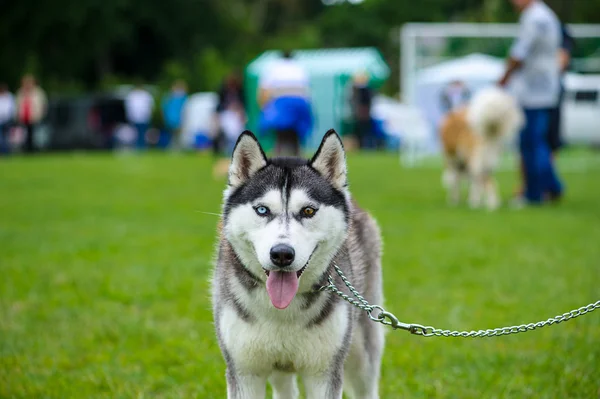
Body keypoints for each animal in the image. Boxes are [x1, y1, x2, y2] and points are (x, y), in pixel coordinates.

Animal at [212, 130, 384, 398]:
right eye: (262, 210)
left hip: (362, 348)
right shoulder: (244, 371)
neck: (282, 312)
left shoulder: (323, 373)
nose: (282, 254)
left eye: (308, 211)